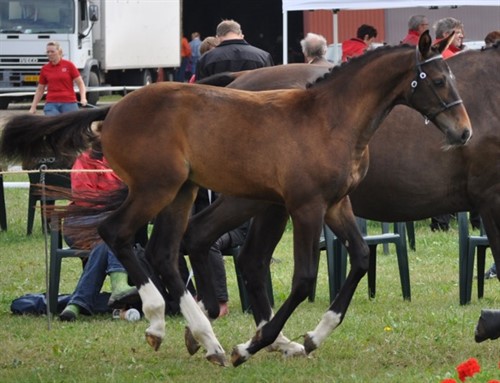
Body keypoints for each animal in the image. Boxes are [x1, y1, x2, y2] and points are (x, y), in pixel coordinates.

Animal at [0, 32, 468, 366]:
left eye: (452, 78)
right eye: (438, 80)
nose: (464, 132)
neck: (330, 120)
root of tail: (112, 110)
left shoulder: (337, 204)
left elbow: (361, 258)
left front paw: (312, 336)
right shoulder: (306, 207)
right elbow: (303, 279)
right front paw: (255, 344)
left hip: (184, 191)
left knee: (166, 251)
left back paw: (207, 341)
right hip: (157, 187)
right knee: (116, 233)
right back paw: (161, 321)